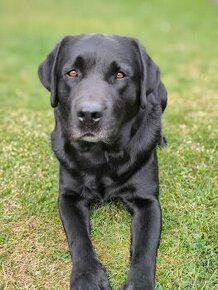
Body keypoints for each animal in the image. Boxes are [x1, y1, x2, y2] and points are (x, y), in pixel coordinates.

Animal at [38, 34, 167, 290]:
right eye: (72, 72)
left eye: (120, 75)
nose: (89, 114)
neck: (101, 154)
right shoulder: (68, 197)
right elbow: (78, 237)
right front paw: (86, 277)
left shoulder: (148, 202)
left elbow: (145, 249)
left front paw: (139, 283)